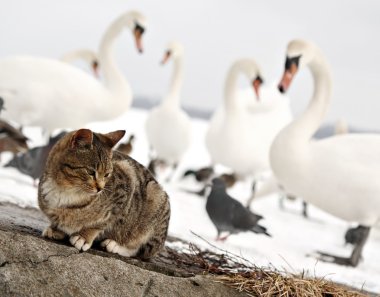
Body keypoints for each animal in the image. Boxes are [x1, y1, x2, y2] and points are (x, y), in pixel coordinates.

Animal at [37, 128, 171, 258]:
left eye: (107, 174)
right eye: (91, 172)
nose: (100, 188)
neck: (65, 190)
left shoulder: (126, 186)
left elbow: (101, 223)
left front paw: (84, 236)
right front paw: (56, 229)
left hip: (155, 198)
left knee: (140, 250)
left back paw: (114, 245)